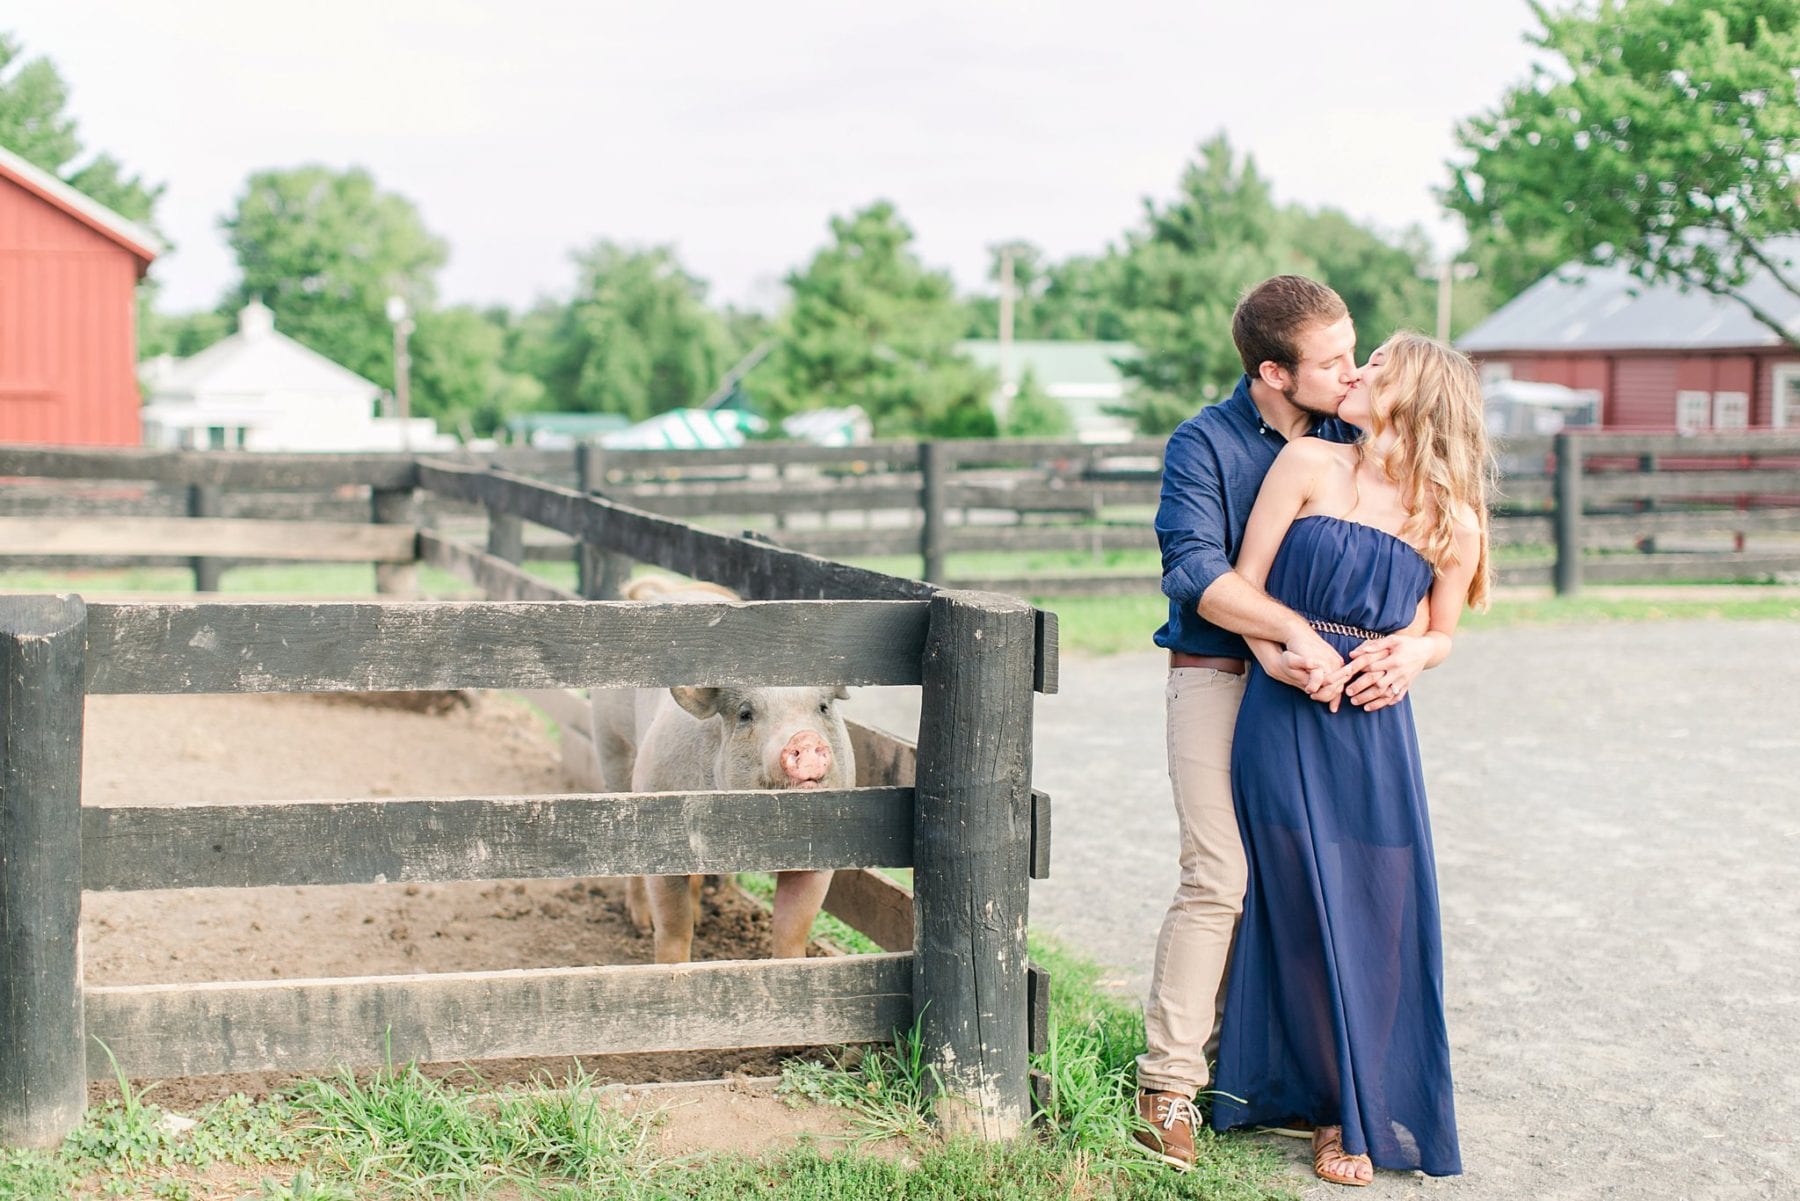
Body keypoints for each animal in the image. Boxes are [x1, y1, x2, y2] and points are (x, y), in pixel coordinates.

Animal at [583, 576, 849, 965]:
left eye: (823, 708)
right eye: (745, 713)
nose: (804, 737)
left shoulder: (824, 853)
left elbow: (792, 929)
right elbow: (674, 928)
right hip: (612, 748)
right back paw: (641, 923)